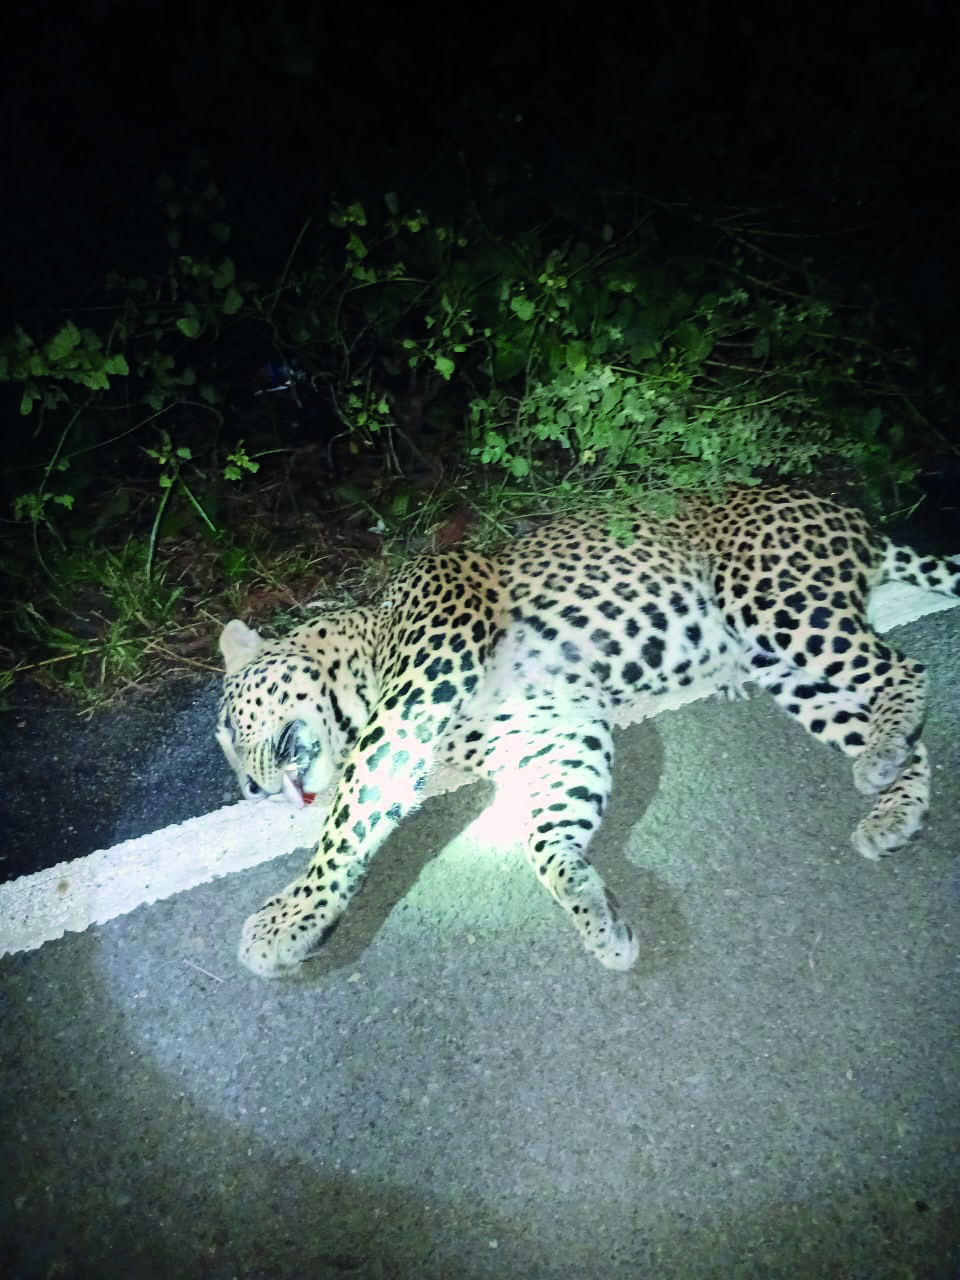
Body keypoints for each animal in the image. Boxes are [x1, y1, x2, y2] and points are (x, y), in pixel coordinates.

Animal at [216, 486, 960, 978]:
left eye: (226, 726)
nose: (251, 790)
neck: (364, 651)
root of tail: (851, 513)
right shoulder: (559, 733)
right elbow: (547, 837)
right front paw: (595, 912)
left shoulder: (423, 682)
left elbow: (350, 812)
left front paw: (289, 919)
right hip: (782, 668)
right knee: (896, 728)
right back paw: (892, 808)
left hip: (775, 598)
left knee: (904, 667)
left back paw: (884, 753)